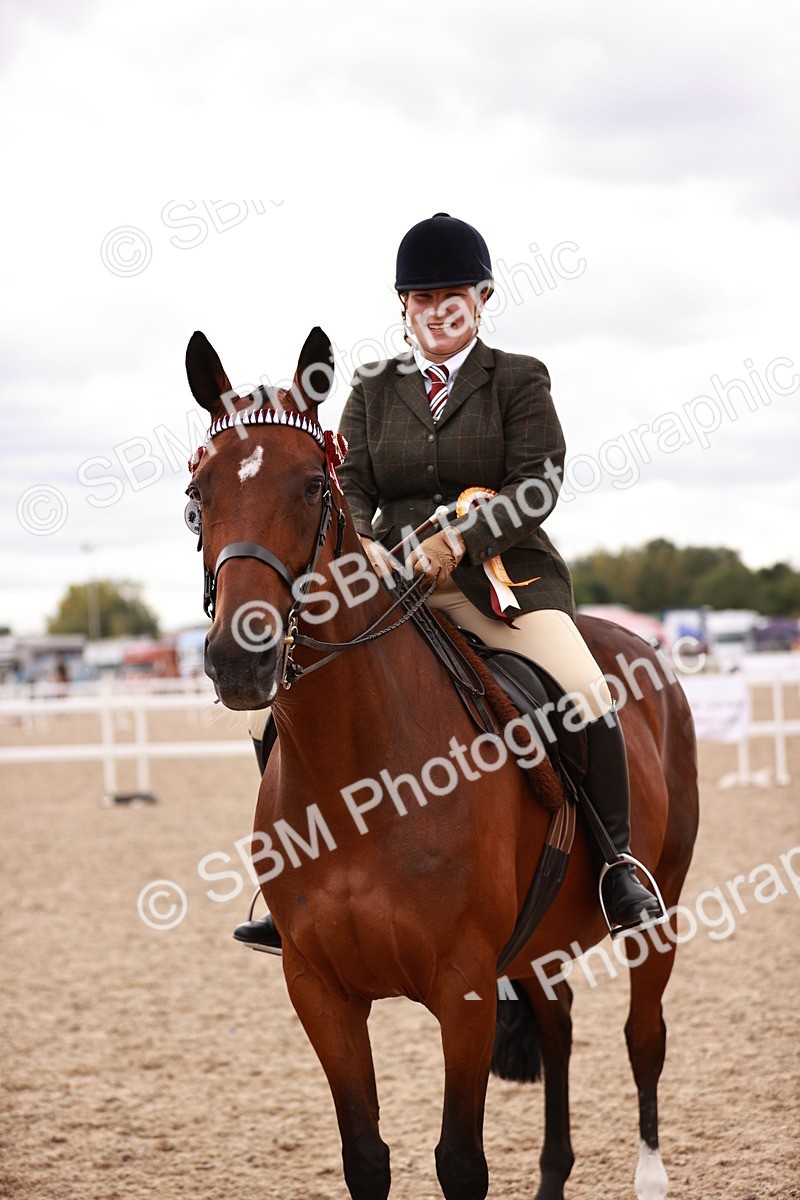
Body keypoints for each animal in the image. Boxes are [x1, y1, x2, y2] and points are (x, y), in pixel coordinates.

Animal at [184, 326, 699, 1200]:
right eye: (199, 491)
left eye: (311, 487)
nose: (239, 660)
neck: (357, 779)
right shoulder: (319, 991)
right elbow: (366, 1158)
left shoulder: (462, 990)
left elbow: (460, 1162)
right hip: (538, 942)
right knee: (560, 1028)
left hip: (655, 912)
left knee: (644, 1035)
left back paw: (651, 1175)